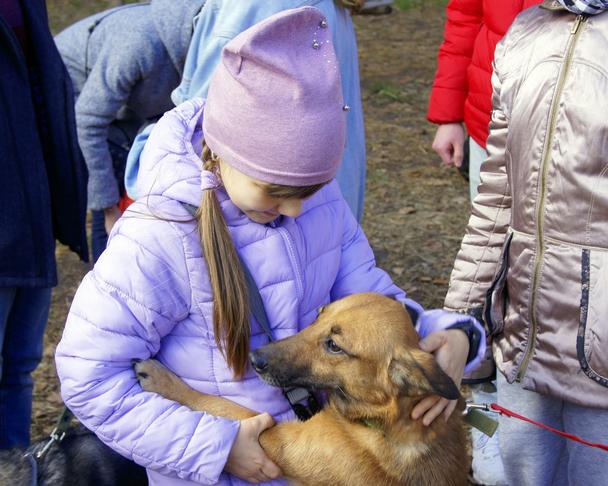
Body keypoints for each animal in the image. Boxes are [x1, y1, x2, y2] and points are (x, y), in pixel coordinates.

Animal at [135, 292, 468, 486]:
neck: (382, 422)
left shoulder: (272, 438)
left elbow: (220, 405)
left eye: (334, 346)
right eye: (319, 314)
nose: (255, 359)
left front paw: (163, 380)